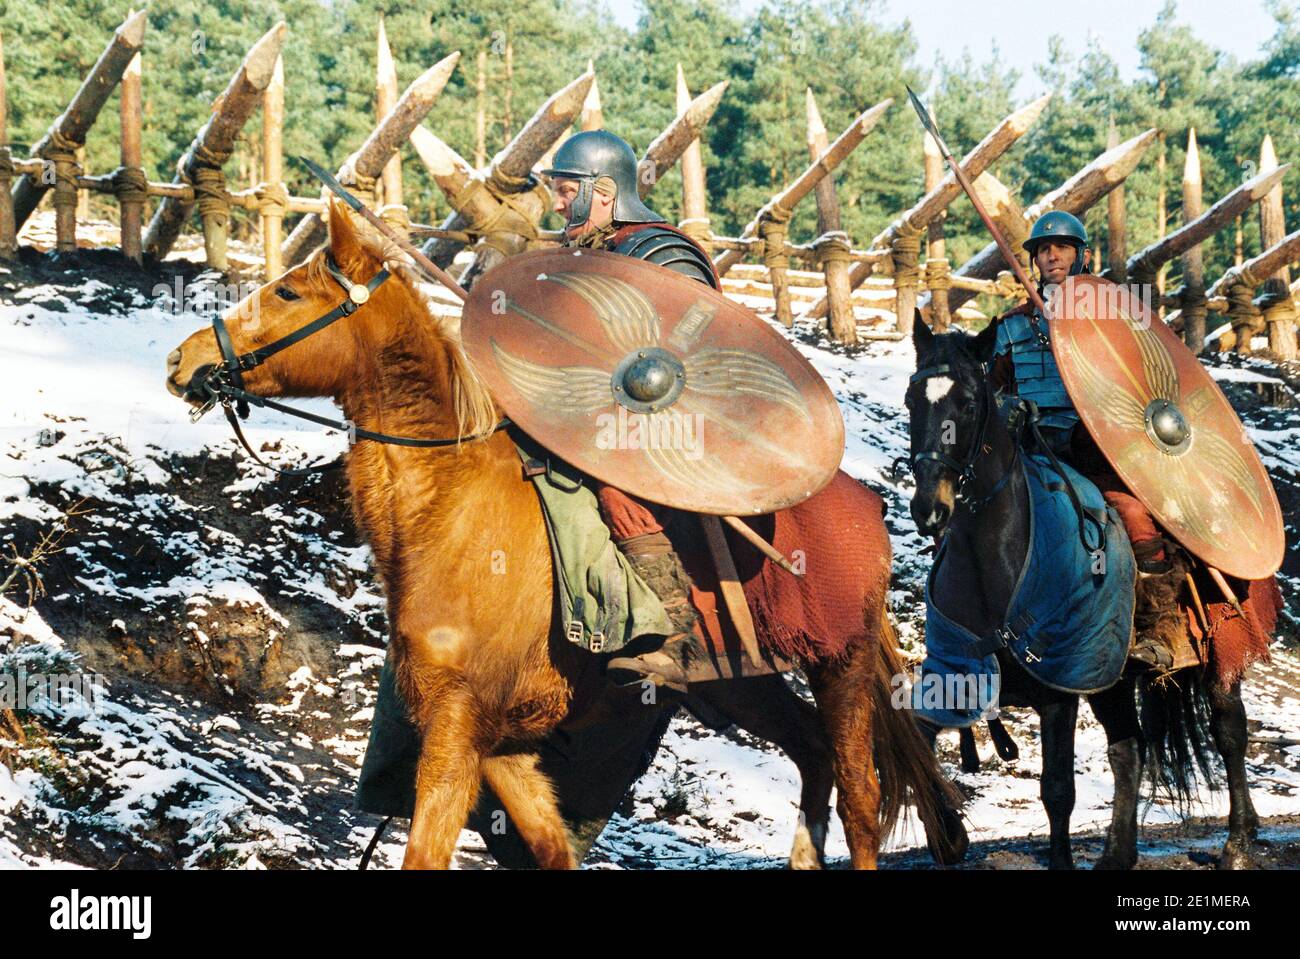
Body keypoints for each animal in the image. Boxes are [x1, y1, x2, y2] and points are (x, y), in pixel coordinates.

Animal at [165, 200, 967, 868]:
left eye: (288, 294)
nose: (183, 361)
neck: (450, 501)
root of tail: (864, 502)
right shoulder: (501, 742)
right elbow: (551, 847)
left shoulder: (457, 724)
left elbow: (428, 851)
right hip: (742, 682)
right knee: (811, 753)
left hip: (842, 659)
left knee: (860, 794)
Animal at [904, 315, 1258, 868]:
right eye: (910, 400)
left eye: (968, 403)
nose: (929, 508)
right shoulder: (958, 669)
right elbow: (917, 744)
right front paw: (948, 833)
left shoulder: (1059, 691)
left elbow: (1057, 790)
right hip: (1110, 678)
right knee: (1128, 750)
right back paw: (1118, 853)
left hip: (1221, 647)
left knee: (1229, 733)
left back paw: (1238, 844)